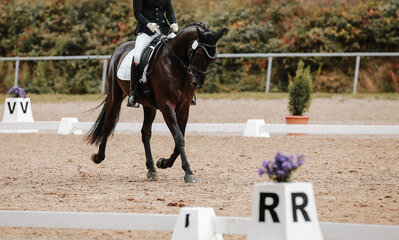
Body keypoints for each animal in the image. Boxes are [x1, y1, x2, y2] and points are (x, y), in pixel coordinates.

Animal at [85, 23, 227, 182]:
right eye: (197, 54)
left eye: (212, 58)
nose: (197, 83)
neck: (175, 63)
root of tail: (119, 49)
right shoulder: (167, 106)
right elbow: (178, 137)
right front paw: (188, 172)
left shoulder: (184, 107)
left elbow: (180, 137)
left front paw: (164, 163)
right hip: (115, 98)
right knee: (108, 124)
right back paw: (98, 157)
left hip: (149, 106)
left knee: (145, 133)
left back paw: (151, 169)